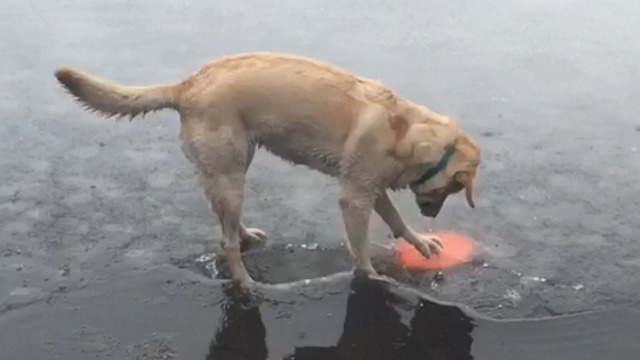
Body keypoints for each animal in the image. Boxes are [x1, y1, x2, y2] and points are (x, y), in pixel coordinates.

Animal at [53, 52, 480, 284]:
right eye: (453, 189)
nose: (432, 215)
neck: (410, 133)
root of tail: (185, 86)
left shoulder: (370, 188)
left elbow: (396, 221)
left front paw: (420, 241)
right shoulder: (355, 196)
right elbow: (360, 249)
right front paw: (372, 276)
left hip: (235, 165)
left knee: (224, 221)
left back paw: (245, 236)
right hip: (231, 171)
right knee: (225, 243)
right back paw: (246, 283)